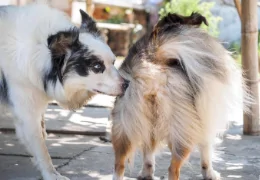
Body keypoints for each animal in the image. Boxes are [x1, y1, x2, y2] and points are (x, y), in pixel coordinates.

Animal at [0, 2, 129, 180]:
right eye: (97, 67)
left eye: (114, 62)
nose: (127, 84)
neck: (41, 53)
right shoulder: (27, 112)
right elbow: (41, 148)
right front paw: (51, 174)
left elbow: (41, 134)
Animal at [111, 13, 248, 180]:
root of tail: (152, 61)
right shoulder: (204, 118)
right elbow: (206, 148)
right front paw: (210, 173)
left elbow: (148, 153)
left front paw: (146, 173)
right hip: (183, 129)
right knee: (173, 168)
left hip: (125, 123)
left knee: (120, 164)